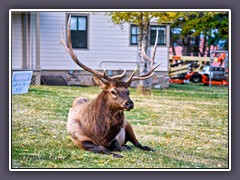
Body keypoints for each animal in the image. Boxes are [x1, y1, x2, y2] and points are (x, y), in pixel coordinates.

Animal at [60, 15, 161, 158]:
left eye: (128, 91)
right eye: (113, 91)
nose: (129, 103)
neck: (100, 134)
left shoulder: (115, 138)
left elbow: (118, 146)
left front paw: (123, 149)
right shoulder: (79, 139)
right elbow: (101, 148)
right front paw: (115, 153)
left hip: (129, 125)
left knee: (138, 143)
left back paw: (146, 148)